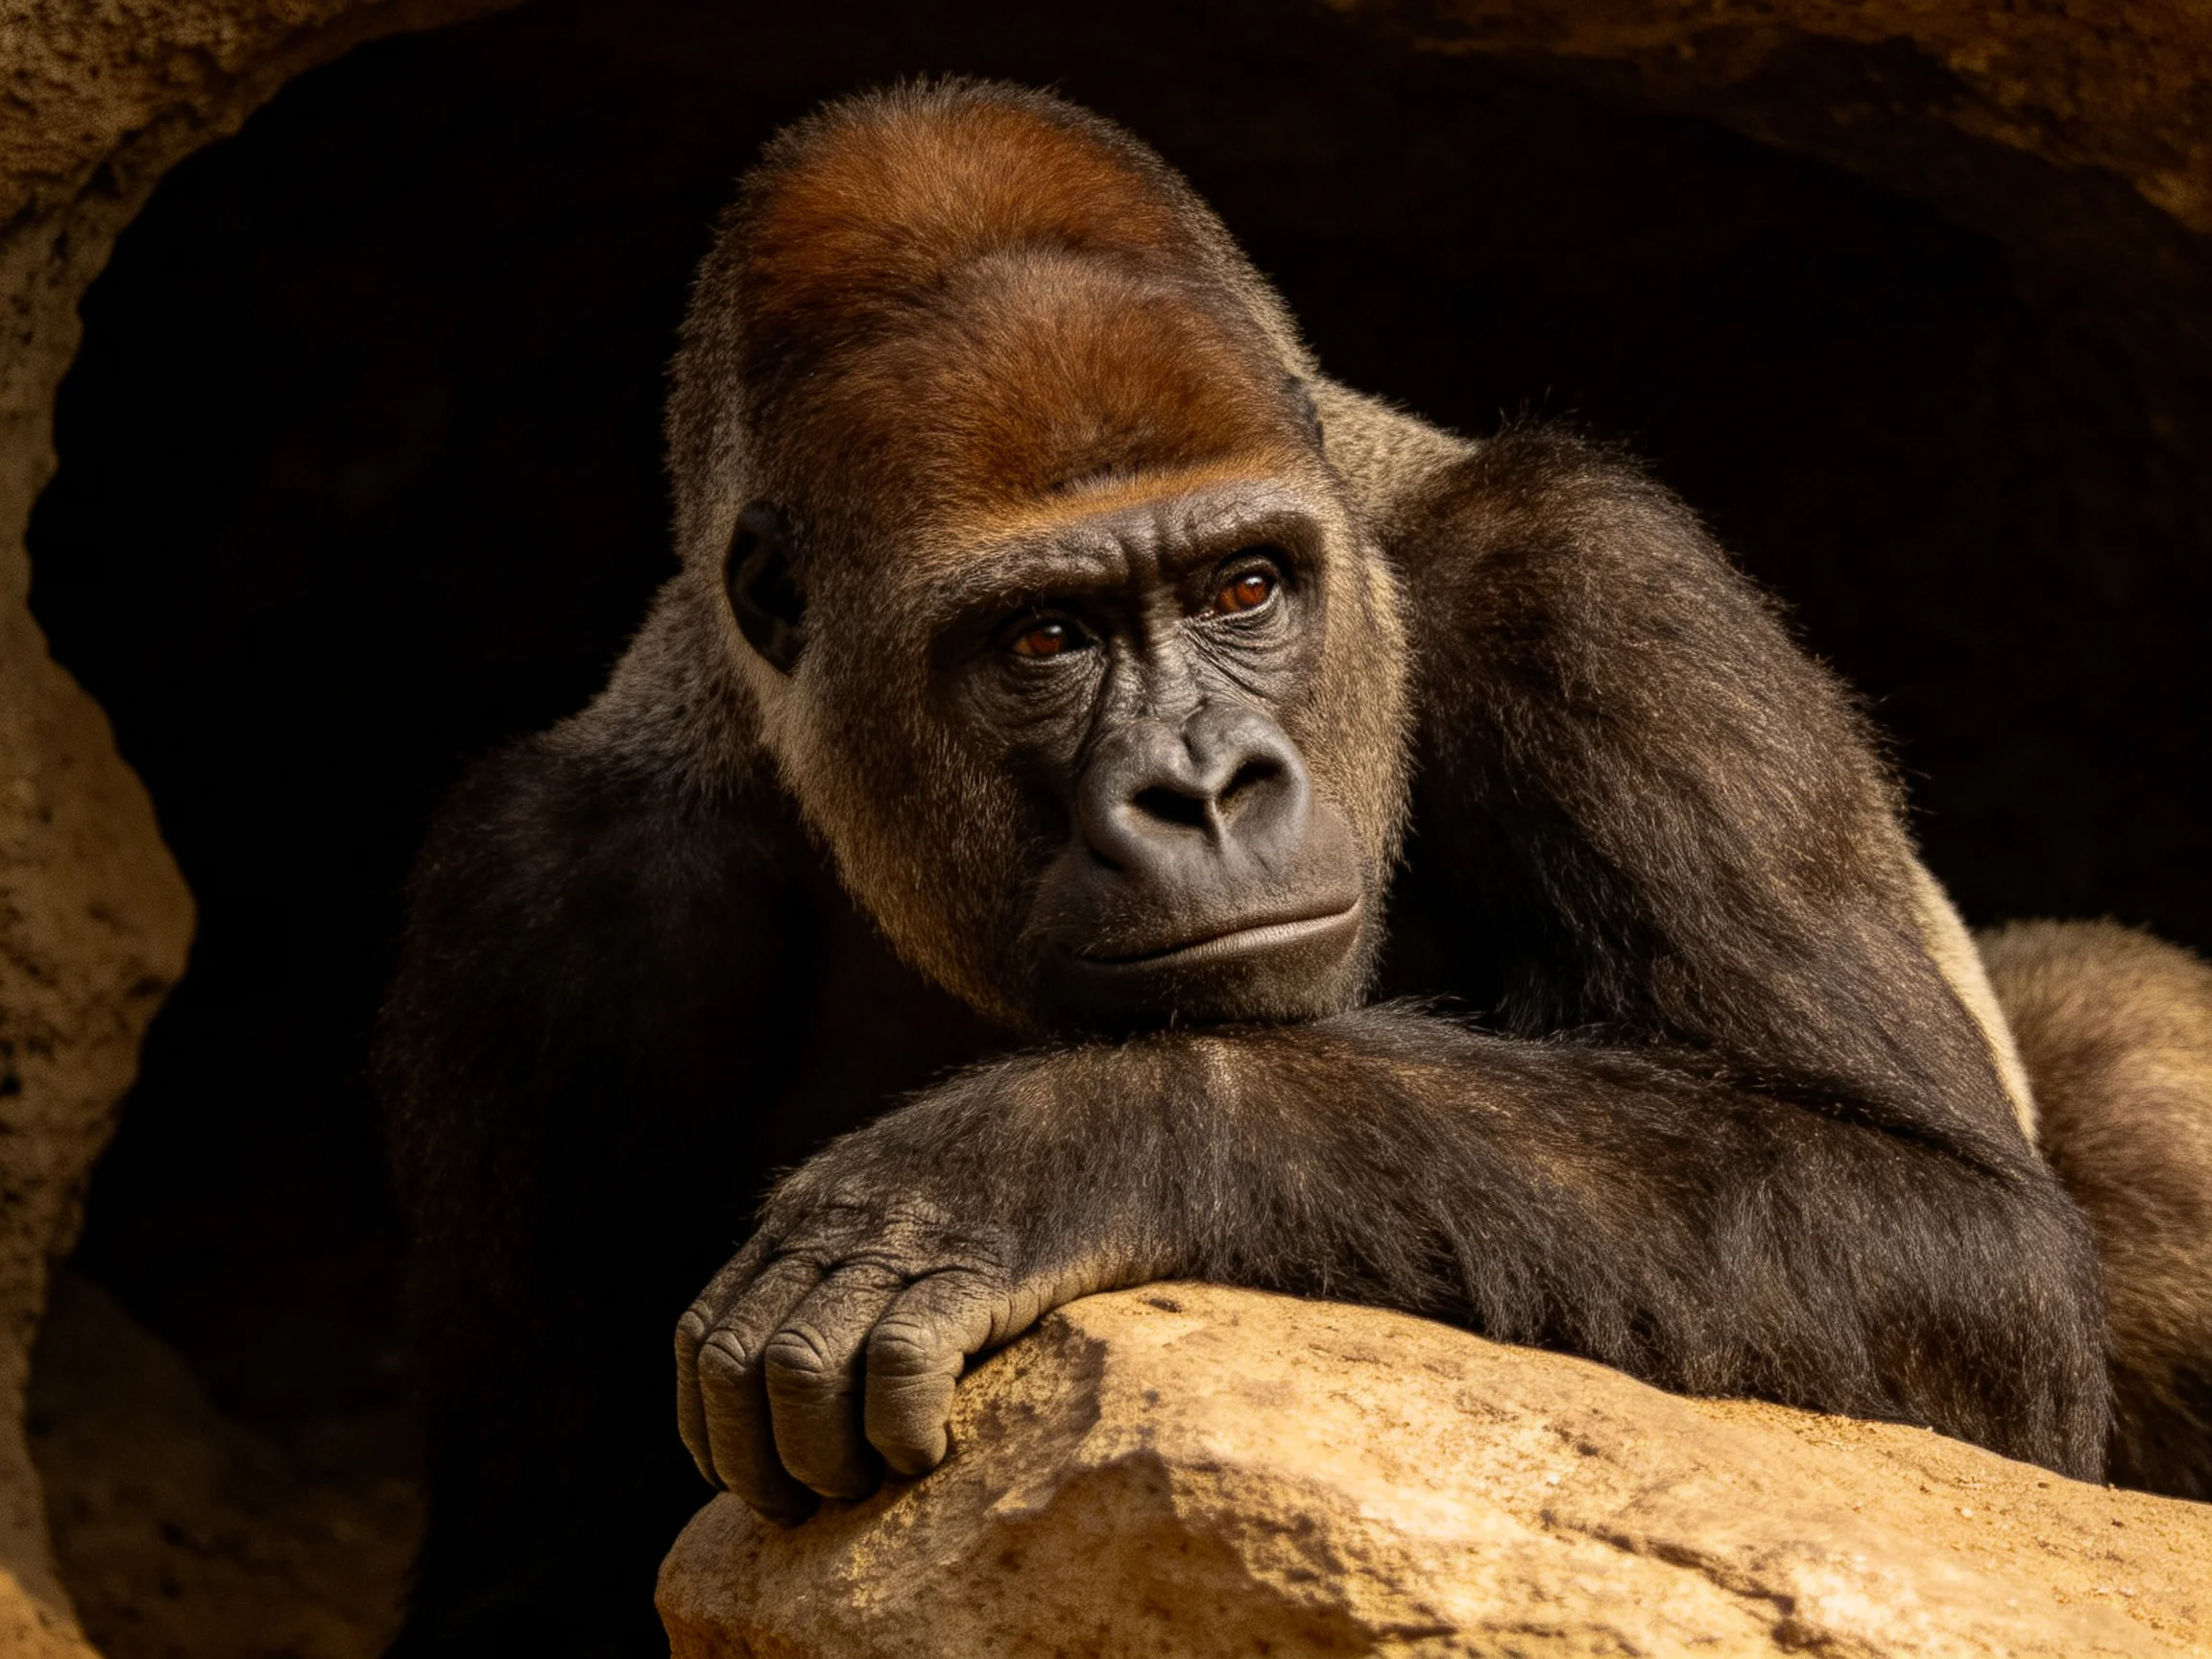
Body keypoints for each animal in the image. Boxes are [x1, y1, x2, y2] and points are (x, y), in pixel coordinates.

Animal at [379, 79, 2210, 1657]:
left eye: (1243, 589)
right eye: (1042, 637)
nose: (1201, 790)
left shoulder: (1595, 586)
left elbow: (1950, 1220)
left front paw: (1061, 1145)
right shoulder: (541, 898)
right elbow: (530, 1579)